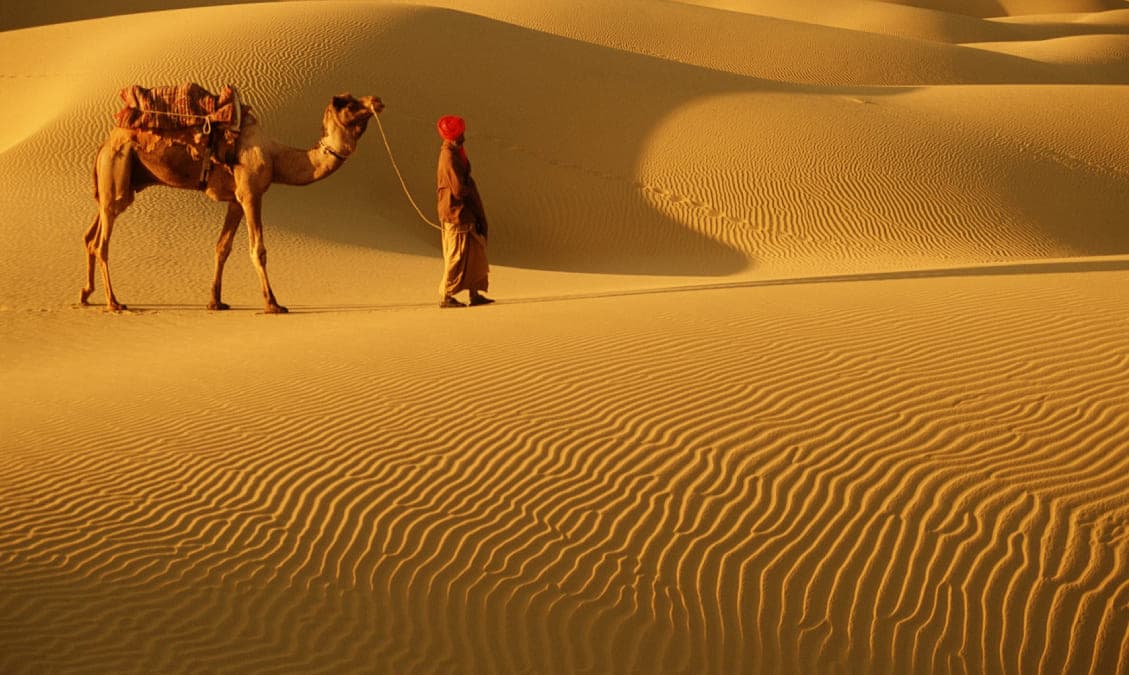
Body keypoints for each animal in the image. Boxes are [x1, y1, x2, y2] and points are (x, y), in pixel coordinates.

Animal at [81, 91, 385, 313]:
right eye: (349, 103)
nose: (377, 100)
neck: (276, 158)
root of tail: (104, 144)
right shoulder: (251, 193)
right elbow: (258, 249)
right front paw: (273, 304)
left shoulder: (236, 200)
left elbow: (222, 247)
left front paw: (215, 301)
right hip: (118, 171)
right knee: (101, 242)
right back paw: (114, 303)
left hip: (118, 183)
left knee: (91, 234)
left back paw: (86, 294)